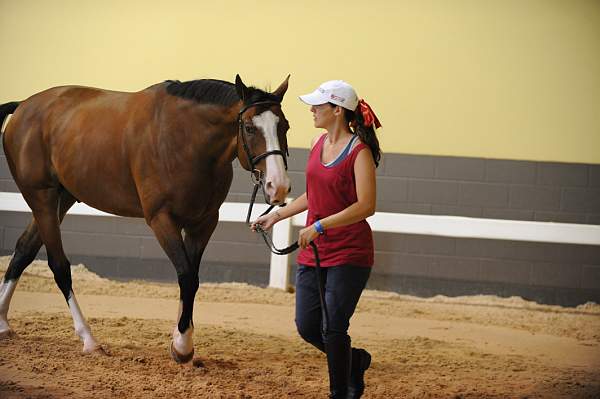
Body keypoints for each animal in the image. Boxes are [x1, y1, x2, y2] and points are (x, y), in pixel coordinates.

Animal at [0, 73, 290, 364]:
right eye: (250, 128)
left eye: (285, 126)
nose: (278, 186)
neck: (185, 139)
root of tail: (22, 107)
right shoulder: (162, 219)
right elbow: (187, 276)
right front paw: (182, 346)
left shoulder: (203, 222)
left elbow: (192, 278)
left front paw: (179, 339)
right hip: (42, 199)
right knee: (59, 266)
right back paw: (89, 340)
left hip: (63, 198)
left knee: (23, 251)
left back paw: (3, 323)